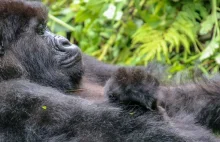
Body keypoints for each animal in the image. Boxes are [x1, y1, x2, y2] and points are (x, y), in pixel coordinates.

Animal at [0, 0, 219, 142]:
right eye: (39, 30)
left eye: (45, 26)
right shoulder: (13, 96)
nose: (65, 41)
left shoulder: (86, 62)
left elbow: (172, 97)